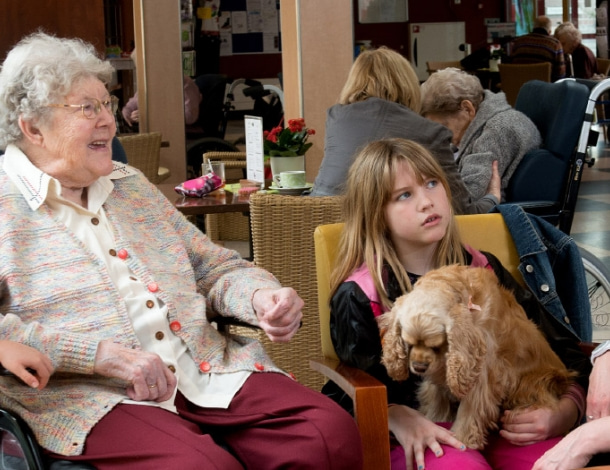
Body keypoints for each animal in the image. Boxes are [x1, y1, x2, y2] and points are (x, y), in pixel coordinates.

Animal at [378, 264, 572, 448]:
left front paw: (463, 439)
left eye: (436, 345)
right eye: (407, 342)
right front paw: (434, 419)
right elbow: (435, 396)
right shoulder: (439, 372)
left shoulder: (480, 374)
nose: (418, 367)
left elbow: (470, 409)